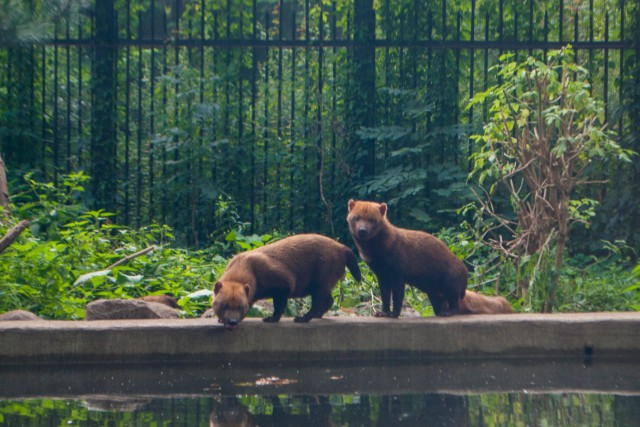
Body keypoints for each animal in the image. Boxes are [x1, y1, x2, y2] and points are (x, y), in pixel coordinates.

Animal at [211, 234, 358, 332]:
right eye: (224, 305)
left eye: (241, 306)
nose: (232, 321)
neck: (247, 266)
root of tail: (343, 248)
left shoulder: (283, 283)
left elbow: (279, 305)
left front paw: (270, 318)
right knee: (329, 300)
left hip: (321, 279)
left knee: (319, 301)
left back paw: (302, 318)